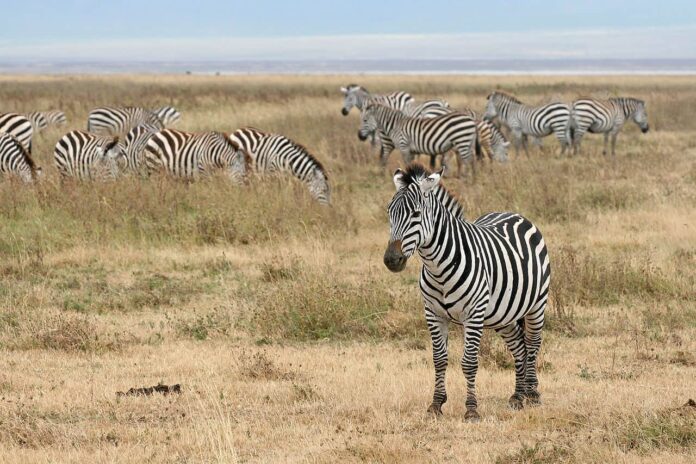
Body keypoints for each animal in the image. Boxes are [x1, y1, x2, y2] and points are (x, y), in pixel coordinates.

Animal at [383, 164, 550, 420]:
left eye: (416, 214)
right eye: (389, 213)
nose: (392, 260)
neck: (438, 268)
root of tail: (513, 214)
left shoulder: (474, 313)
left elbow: (469, 362)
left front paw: (471, 409)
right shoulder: (433, 313)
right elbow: (439, 359)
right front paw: (436, 404)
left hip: (536, 305)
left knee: (532, 343)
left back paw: (532, 394)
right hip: (503, 315)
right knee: (519, 346)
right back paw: (517, 395)